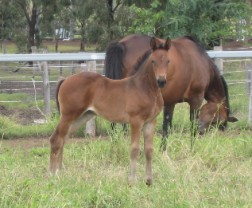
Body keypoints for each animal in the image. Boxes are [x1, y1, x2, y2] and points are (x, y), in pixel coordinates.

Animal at [50, 37, 170, 185]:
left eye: (168, 61)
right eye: (153, 61)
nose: (161, 81)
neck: (144, 88)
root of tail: (65, 79)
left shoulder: (150, 121)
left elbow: (149, 150)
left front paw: (148, 181)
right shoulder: (136, 121)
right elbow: (134, 149)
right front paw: (131, 180)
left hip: (82, 116)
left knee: (63, 139)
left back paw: (60, 173)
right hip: (68, 116)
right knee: (55, 139)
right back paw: (53, 175)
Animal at [105, 34, 238, 151]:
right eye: (217, 121)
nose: (201, 131)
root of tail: (121, 43)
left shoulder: (171, 101)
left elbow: (167, 125)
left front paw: (162, 149)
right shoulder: (196, 99)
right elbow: (190, 124)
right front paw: (192, 148)